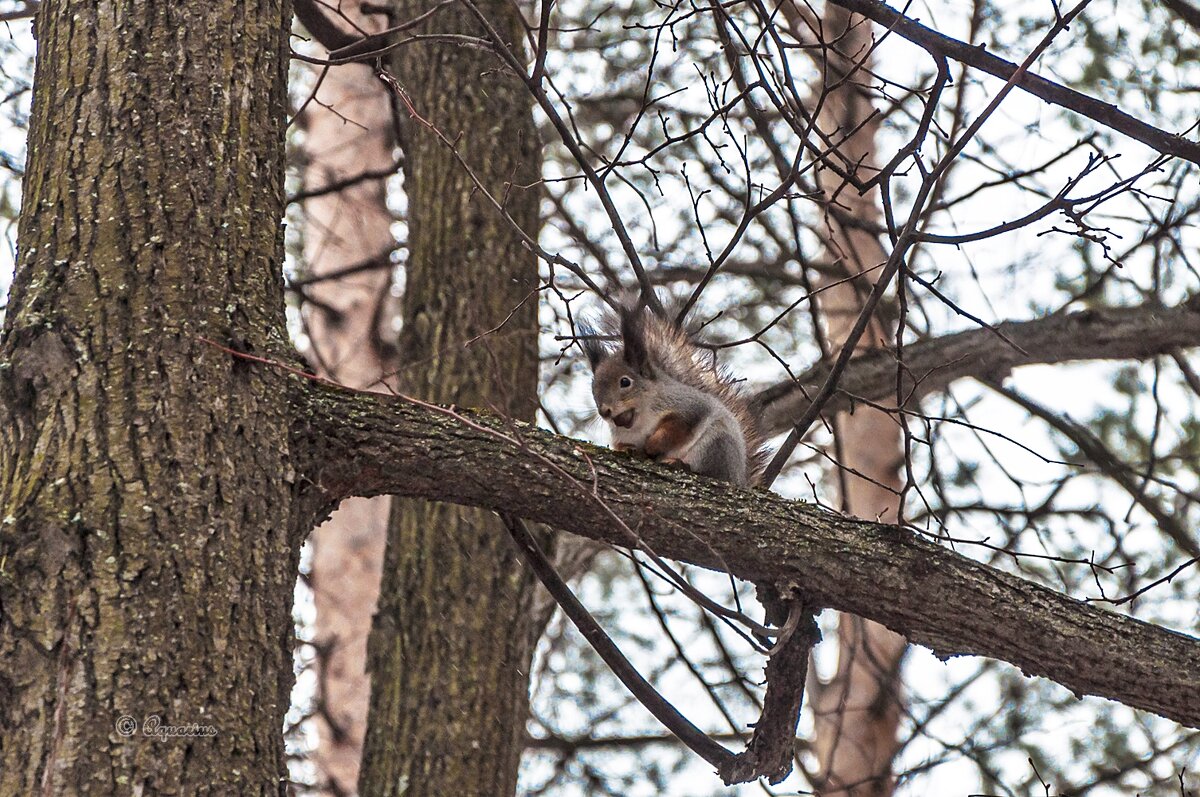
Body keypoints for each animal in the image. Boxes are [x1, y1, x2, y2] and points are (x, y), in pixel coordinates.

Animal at [580, 297, 768, 484]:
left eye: (625, 382)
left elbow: (675, 430)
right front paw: (629, 448)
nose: (604, 411)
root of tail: (738, 478)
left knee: (711, 472)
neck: (640, 420)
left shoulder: (688, 408)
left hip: (717, 443)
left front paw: (652, 445)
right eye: (593, 389)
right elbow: (621, 445)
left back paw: (679, 463)